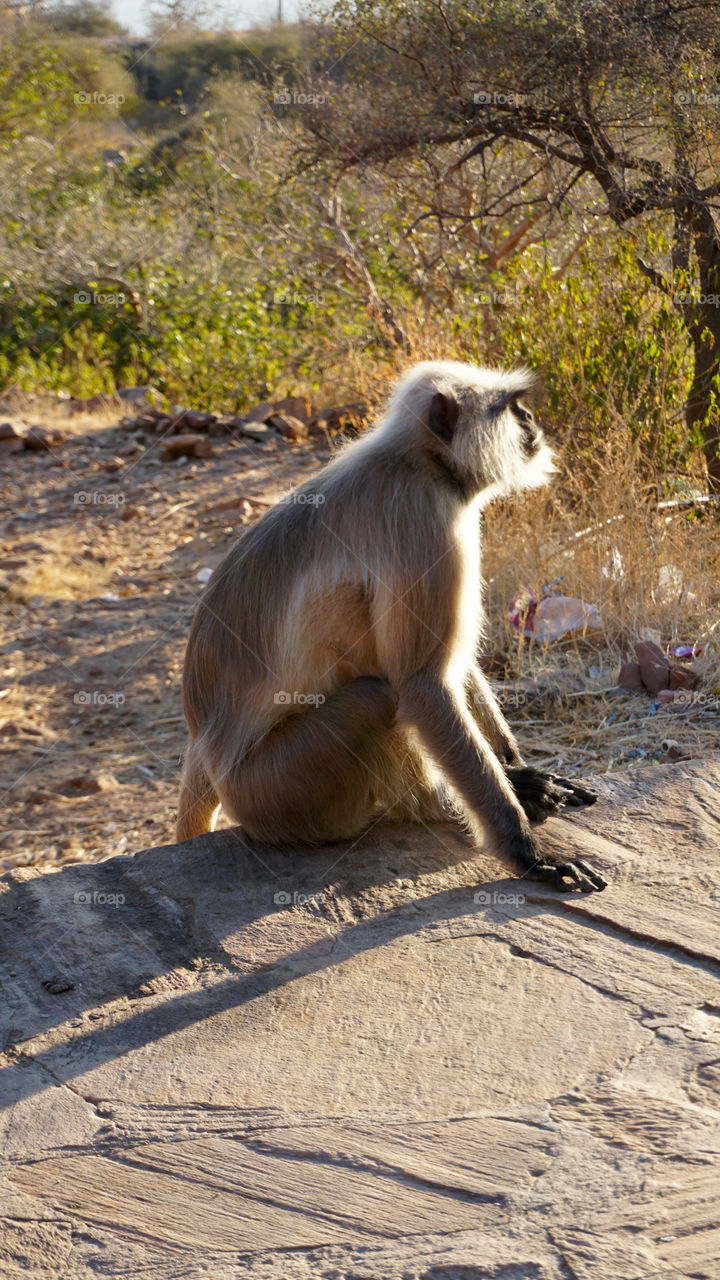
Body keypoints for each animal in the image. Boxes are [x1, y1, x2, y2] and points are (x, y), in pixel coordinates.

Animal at [177, 360, 607, 894]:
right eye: (510, 407)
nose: (530, 419)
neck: (420, 462)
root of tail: (203, 749)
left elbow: (453, 667)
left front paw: (518, 770)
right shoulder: (422, 522)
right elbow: (422, 683)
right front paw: (526, 851)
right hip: (273, 790)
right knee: (377, 698)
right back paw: (441, 806)